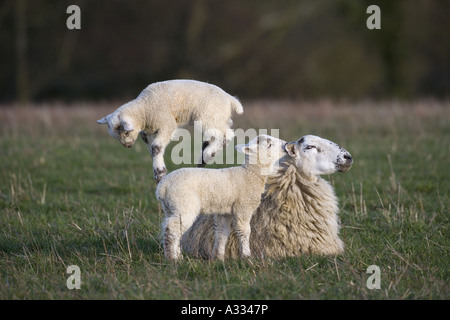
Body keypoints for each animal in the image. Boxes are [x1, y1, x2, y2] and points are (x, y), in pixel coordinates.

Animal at [95, 79, 243, 182]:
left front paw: (159, 173)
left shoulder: (167, 124)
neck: (144, 109)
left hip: (208, 116)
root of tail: (230, 99)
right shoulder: (148, 131)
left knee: (226, 134)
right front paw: (157, 168)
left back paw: (207, 154)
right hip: (218, 117)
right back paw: (205, 154)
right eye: (116, 136)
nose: (128, 146)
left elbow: (156, 147)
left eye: (125, 132)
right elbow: (151, 147)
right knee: (224, 130)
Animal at [156, 134, 286, 262]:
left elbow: (222, 232)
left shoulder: (225, 211)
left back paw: (177, 255)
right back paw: (172, 258)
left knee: (171, 228)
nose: (285, 144)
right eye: (269, 144)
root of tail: (162, 187)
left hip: (170, 207)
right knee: (172, 229)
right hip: (184, 205)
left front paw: (218, 257)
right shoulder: (243, 208)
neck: (251, 174)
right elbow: (244, 231)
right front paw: (246, 255)